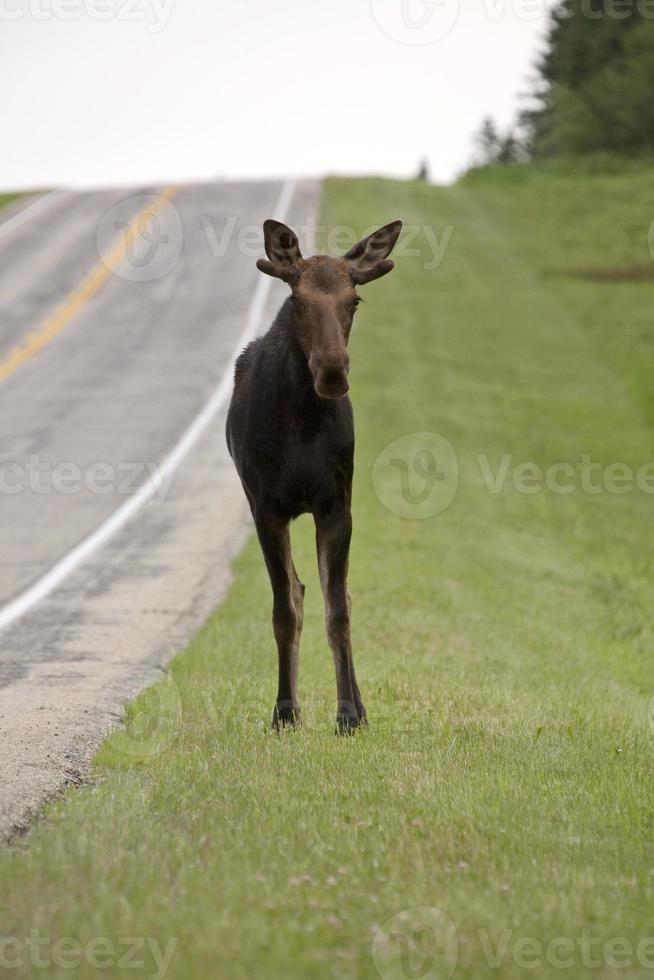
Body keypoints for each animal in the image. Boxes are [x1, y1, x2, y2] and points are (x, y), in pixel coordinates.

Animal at [228, 218, 402, 732]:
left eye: (354, 300)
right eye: (298, 299)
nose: (332, 371)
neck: (302, 425)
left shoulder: (336, 505)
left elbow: (338, 610)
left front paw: (349, 714)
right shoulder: (266, 508)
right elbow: (285, 609)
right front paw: (285, 711)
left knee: (337, 595)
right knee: (299, 591)